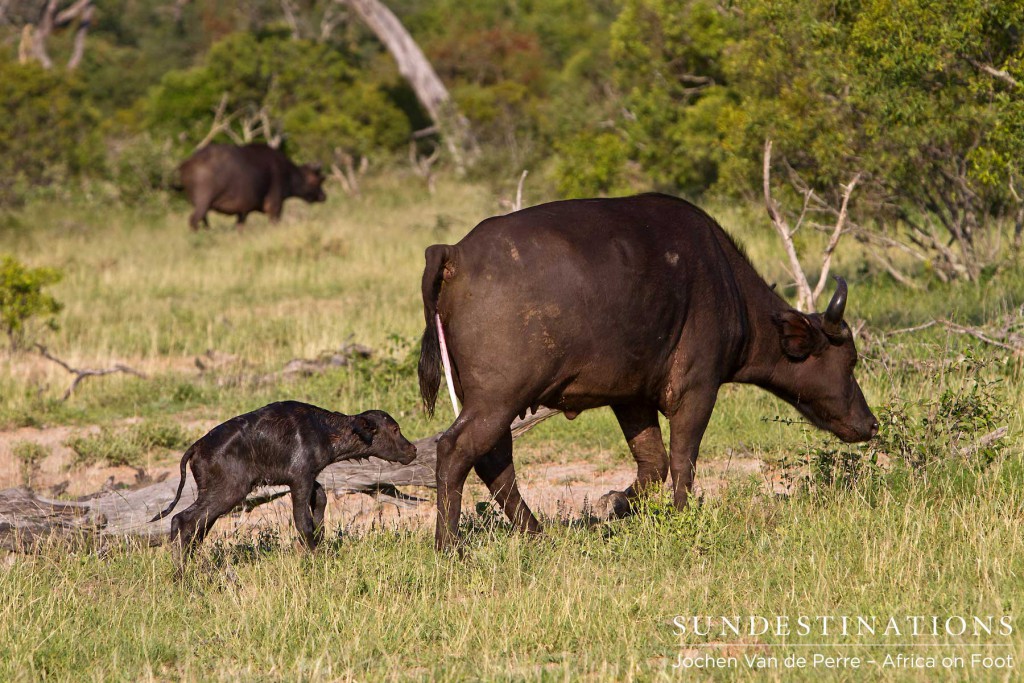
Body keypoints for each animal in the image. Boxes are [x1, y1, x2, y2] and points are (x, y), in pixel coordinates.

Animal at [147, 401, 415, 561]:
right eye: (395, 429)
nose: (412, 450)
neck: (323, 430)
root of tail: (196, 447)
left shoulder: (308, 479)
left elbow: (320, 501)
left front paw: (321, 536)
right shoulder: (300, 480)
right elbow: (303, 522)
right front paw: (315, 555)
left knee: (195, 528)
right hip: (228, 492)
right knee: (182, 520)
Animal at [178, 143, 325, 231]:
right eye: (319, 180)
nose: (324, 196)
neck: (289, 174)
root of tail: (186, 163)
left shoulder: (242, 212)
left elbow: (239, 227)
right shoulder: (275, 207)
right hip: (203, 203)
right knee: (193, 220)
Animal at [417, 191, 880, 548]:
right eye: (848, 360)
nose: (871, 424)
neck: (727, 285)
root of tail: (454, 252)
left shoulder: (631, 399)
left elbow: (653, 464)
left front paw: (614, 503)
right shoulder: (697, 390)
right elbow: (682, 462)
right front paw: (680, 517)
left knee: (494, 462)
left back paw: (537, 533)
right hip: (498, 398)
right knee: (455, 451)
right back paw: (450, 547)